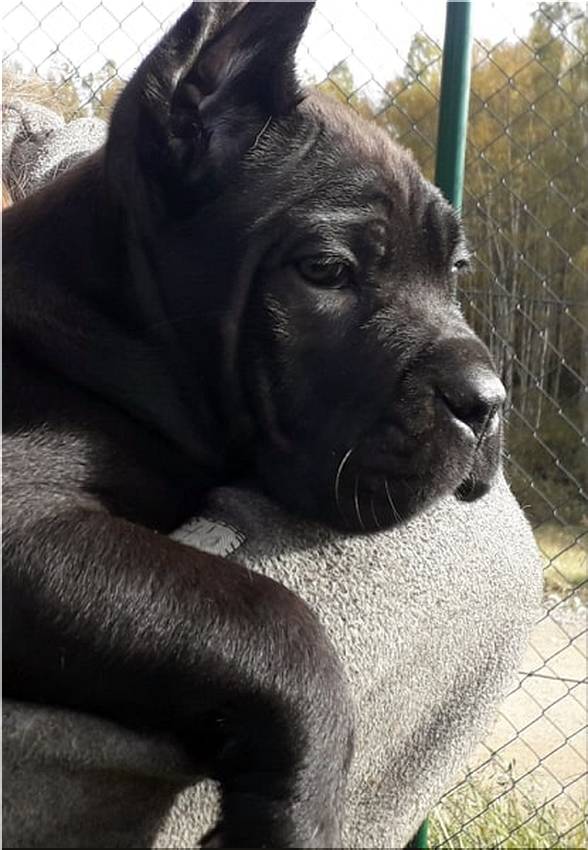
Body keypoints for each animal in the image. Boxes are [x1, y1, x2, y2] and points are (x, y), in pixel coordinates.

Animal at [3, 3, 506, 847]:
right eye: (326, 271)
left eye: (454, 272)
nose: (488, 400)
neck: (106, 318)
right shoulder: (21, 523)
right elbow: (274, 621)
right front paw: (295, 821)